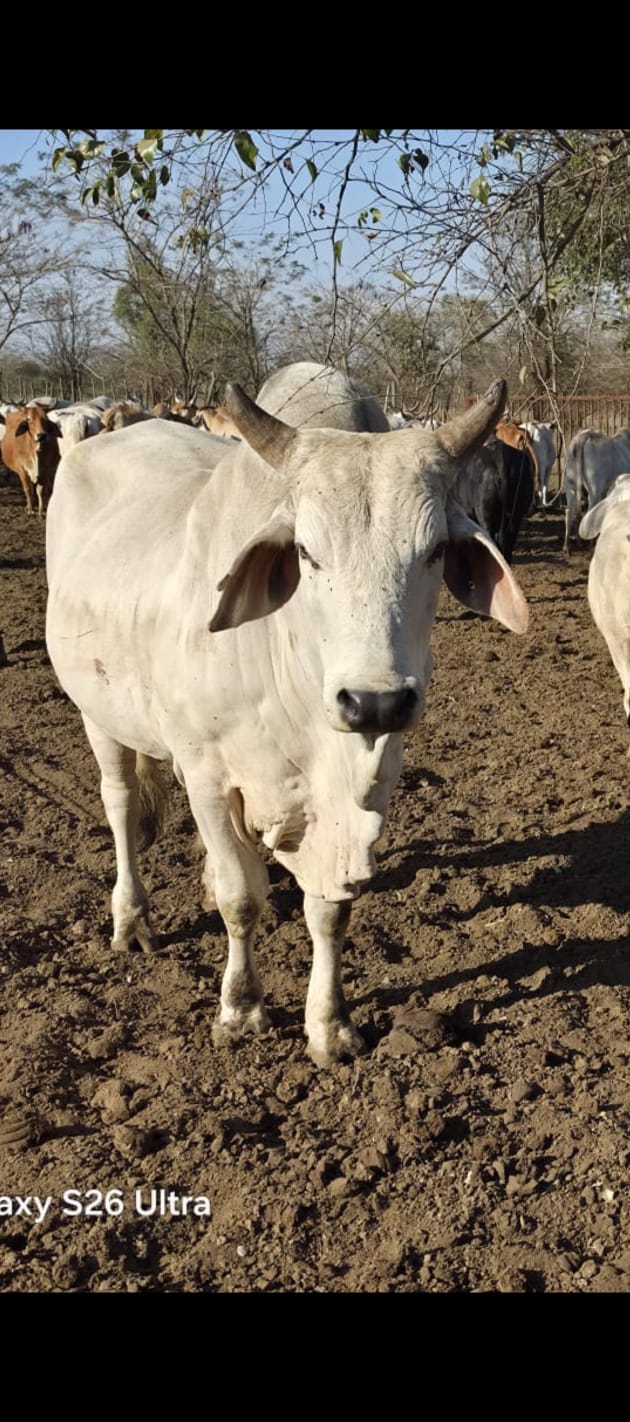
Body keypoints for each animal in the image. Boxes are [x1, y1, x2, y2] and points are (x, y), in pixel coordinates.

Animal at [45, 362, 528, 1068]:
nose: (374, 700)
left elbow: (328, 912)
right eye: (305, 552)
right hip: (98, 714)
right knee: (122, 805)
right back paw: (131, 920)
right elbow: (240, 899)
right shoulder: (208, 773)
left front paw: (329, 1026)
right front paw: (241, 1009)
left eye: (436, 550)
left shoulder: (367, 784)